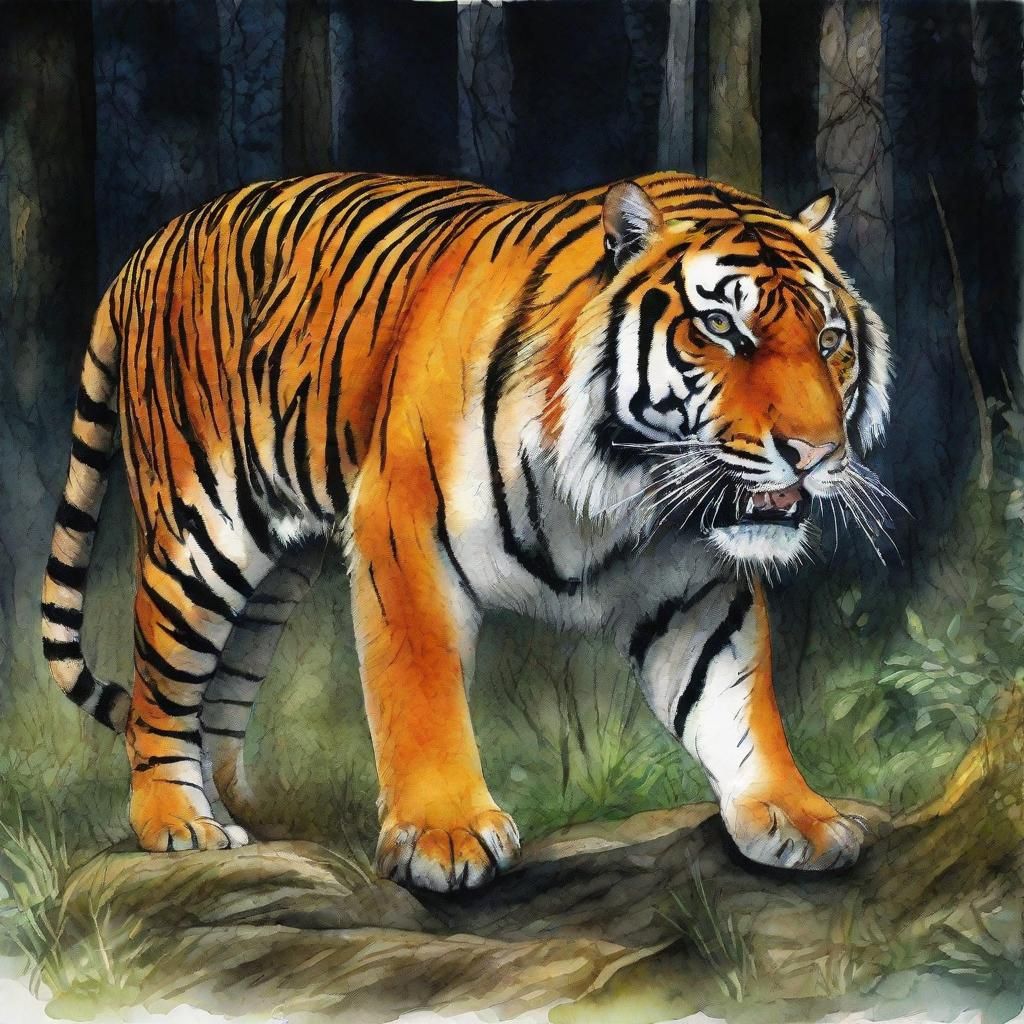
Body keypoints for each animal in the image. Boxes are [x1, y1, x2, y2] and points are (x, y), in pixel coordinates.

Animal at [41, 170, 892, 892]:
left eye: (829, 341)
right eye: (719, 326)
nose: (816, 454)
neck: (626, 484)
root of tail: (151, 246)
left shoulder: (695, 586)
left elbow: (737, 700)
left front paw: (796, 815)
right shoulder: (402, 527)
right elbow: (421, 691)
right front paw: (443, 835)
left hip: (276, 571)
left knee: (221, 690)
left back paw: (238, 818)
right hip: (200, 535)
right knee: (160, 684)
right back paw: (176, 823)